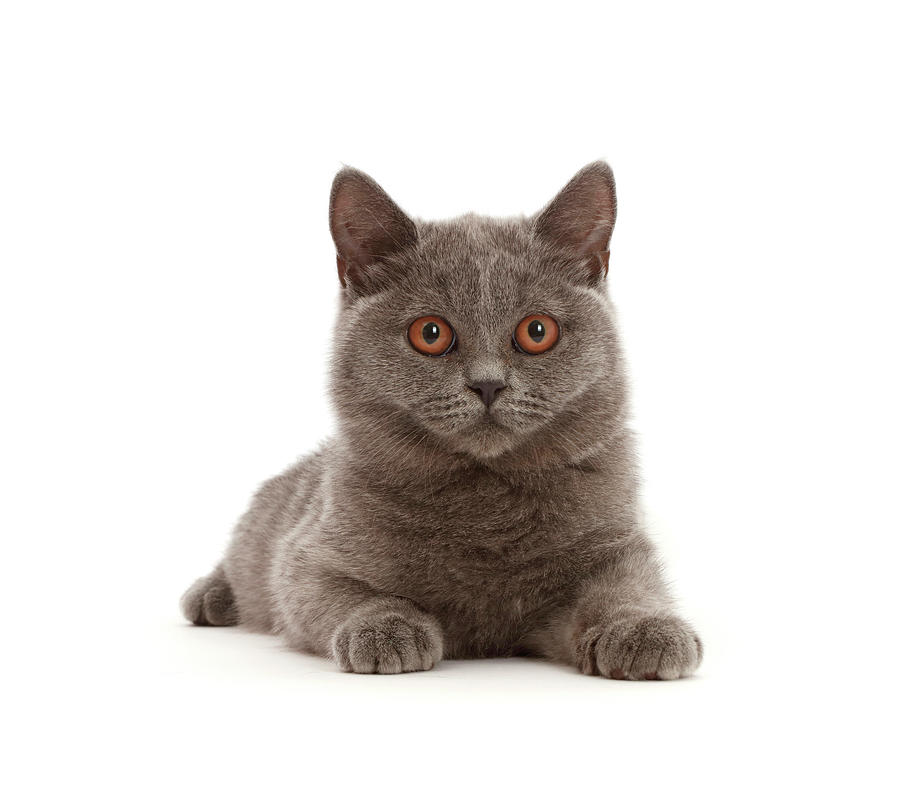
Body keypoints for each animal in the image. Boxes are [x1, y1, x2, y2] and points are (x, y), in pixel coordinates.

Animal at [181, 161, 704, 680]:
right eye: (429, 333)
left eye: (538, 331)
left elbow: (626, 589)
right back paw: (208, 597)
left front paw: (643, 629)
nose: (488, 384)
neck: (486, 501)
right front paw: (387, 628)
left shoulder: (617, 546)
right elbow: (341, 593)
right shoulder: (308, 558)